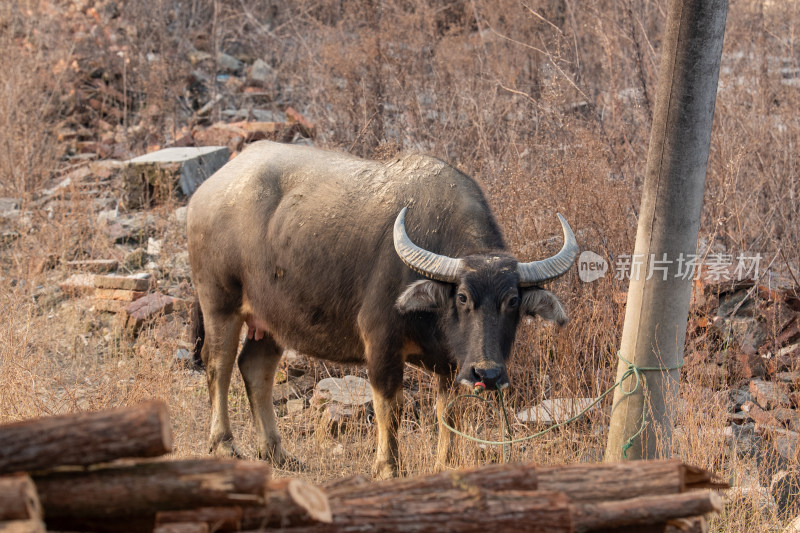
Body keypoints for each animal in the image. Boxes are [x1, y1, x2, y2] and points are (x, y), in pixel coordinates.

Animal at [188, 140, 576, 478]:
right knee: (218, 364)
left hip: (273, 319)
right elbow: (391, 406)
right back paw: (224, 444)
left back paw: (277, 453)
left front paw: (445, 463)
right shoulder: (381, 343)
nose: (489, 374)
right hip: (219, 302)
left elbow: (447, 413)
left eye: (513, 301)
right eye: (463, 297)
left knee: (256, 368)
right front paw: (388, 467)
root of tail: (206, 192)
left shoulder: (452, 363)